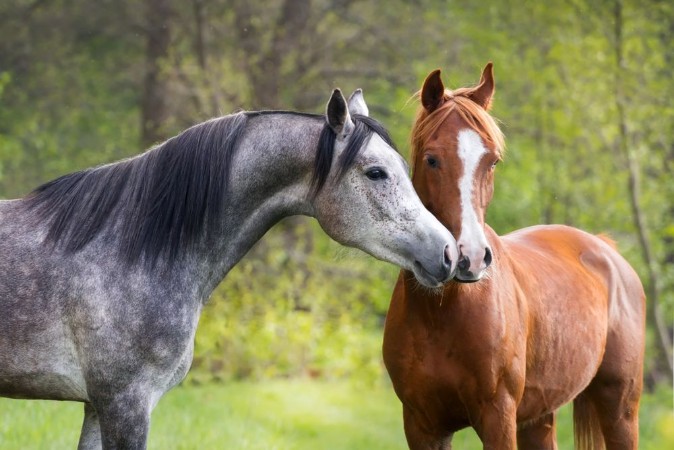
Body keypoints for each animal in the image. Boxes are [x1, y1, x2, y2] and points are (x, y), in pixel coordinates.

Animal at [383, 64, 645, 450]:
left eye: (492, 161)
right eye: (432, 159)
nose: (470, 259)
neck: (441, 313)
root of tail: (606, 250)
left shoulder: (498, 418)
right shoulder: (422, 425)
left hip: (620, 411)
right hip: (538, 418)